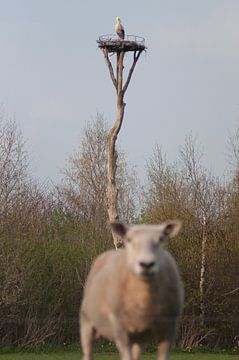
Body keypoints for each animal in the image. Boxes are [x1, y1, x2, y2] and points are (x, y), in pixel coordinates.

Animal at [80, 219, 183, 360]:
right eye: (129, 239)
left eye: (161, 239)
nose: (146, 265)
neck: (144, 299)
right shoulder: (121, 329)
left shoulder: (169, 329)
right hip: (87, 322)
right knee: (87, 352)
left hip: (139, 337)